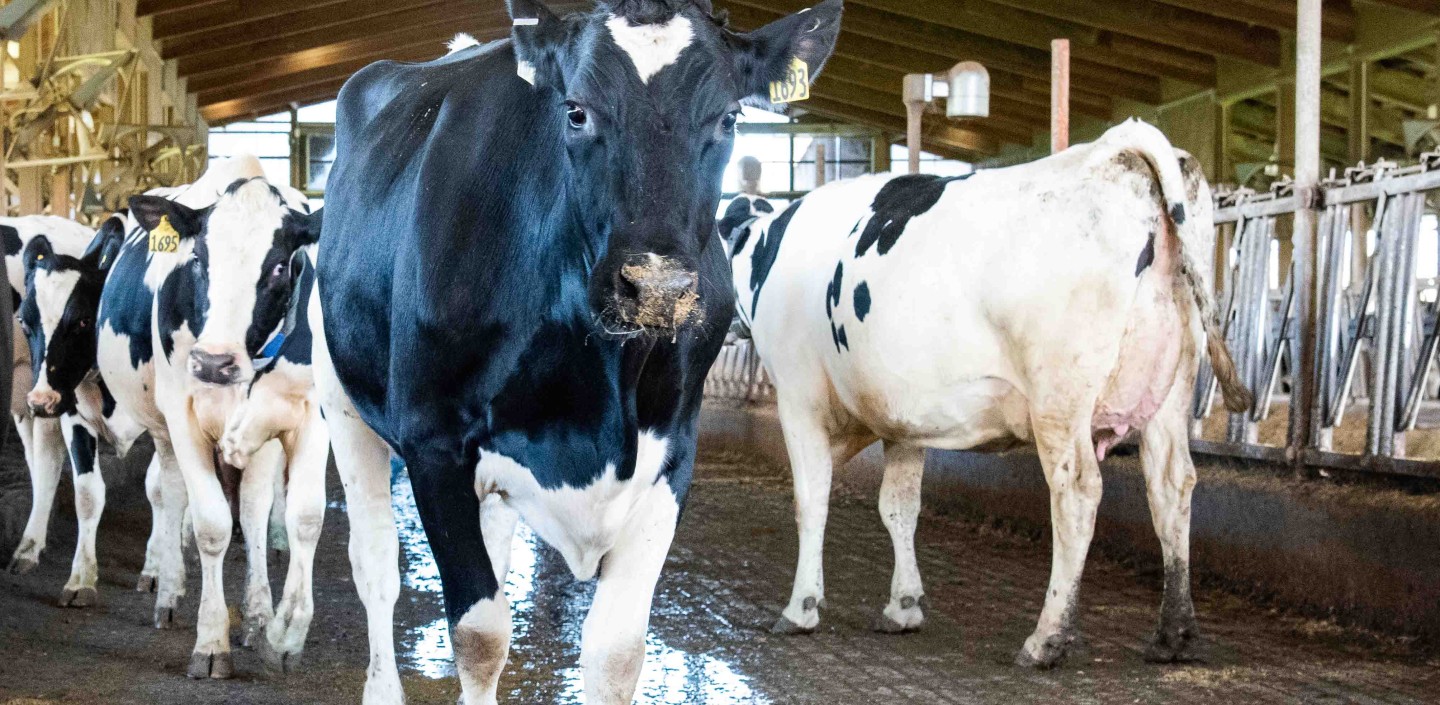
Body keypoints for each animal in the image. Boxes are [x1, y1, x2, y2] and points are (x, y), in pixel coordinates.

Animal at [99, 155, 328, 679]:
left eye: (280, 266)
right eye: (199, 260)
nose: (212, 362)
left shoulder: (310, 414)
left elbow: (303, 517)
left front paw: (284, 634)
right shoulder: (183, 418)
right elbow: (210, 526)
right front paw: (210, 641)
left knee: (255, 507)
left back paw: (258, 614)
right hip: (163, 428)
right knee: (169, 491)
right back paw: (167, 588)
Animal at [314, 1, 842, 702]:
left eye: (729, 117)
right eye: (576, 111)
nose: (656, 287)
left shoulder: (673, 454)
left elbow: (615, 652)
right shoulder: (433, 444)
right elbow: (480, 637)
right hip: (342, 405)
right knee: (375, 565)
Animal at [728, 119, 1253, 668]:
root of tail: (1115, 151)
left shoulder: (799, 396)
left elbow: (811, 499)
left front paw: (801, 608)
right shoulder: (903, 420)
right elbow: (898, 508)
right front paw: (903, 607)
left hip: (1059, 399)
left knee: (1077, 493)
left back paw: (1046, 638)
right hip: (1171, 391)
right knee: (1171, 487)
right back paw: (1174, 634)